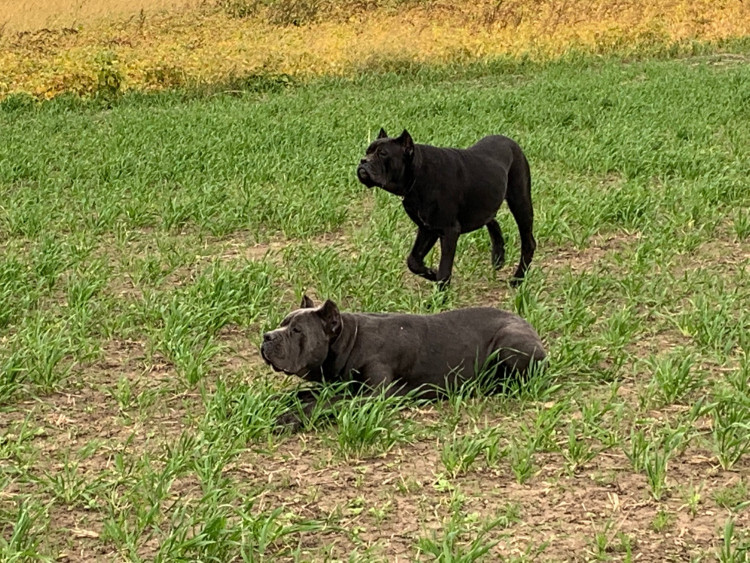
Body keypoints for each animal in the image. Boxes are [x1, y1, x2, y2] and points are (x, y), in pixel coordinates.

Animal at [262, 296, 548, 432]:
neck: (350, 340)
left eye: (297, 330)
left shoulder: (374, 396)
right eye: (282, 324)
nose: (267, 336)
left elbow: (325, 404)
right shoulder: (335, 385)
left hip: (508, 342)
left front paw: (288, 419)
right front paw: (272, 403)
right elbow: (301, 394)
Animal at [356, 131, 536, 288]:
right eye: (367, 151)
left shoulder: (448, 231)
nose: (363, 160)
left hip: (520, 203)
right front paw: (431, 273)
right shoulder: (427, 228)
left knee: (528, 242)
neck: (417, 176)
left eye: (383, 153)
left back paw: (518, 279)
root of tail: (511, 142)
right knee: (492, 220)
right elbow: (413, 260)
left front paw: (438, 297)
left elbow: (444, 268)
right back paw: (498, 257)